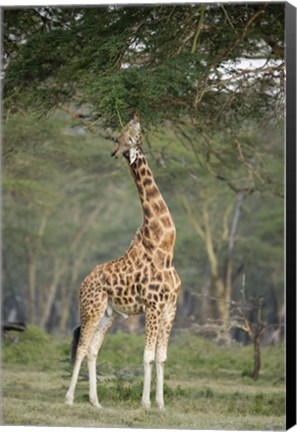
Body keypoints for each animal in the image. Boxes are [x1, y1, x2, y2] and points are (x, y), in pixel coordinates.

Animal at [65, 113, 180, 410]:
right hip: (91, 308)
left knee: (93, 349)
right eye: (124, 134)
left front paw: (161, 404)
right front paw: (146, 403)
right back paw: (69, 398)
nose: (135, 115)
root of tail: (82, 284)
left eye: (132, 129)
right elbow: (147, 356)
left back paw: (95, 401)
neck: (164, 248)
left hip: (109, 314)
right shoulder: (153, 306)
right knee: (81, 346)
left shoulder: (170, 308)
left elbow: (162, 357)